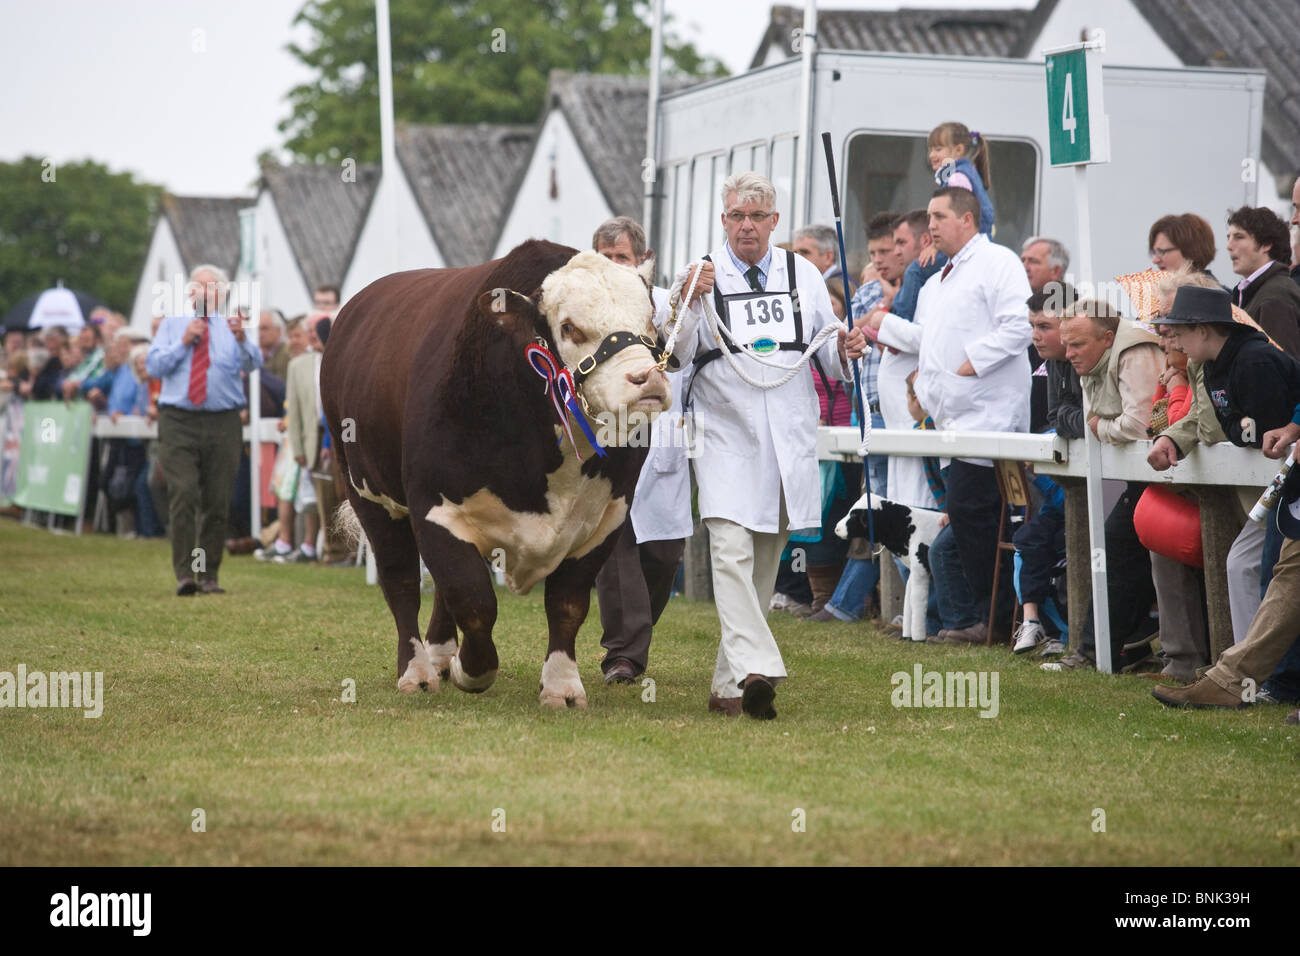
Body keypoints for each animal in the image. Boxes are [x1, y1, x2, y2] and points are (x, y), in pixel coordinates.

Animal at [322, 243, 670, 707]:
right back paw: (417, 671)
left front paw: (562, 686)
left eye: (650, 321)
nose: (646, 379)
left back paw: (438, 655)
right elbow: (473, 602)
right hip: (368, 493)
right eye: (569, 328)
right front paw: (471, 670)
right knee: (401, 582)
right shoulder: (434, 511)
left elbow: (568, 604)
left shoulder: (605, 521)